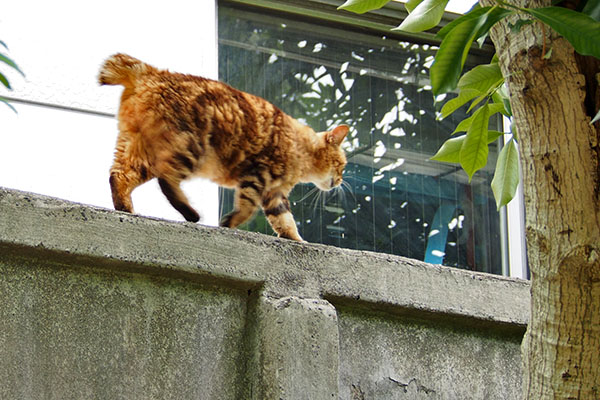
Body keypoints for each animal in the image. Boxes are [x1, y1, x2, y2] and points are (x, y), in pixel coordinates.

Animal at [98, 52, 346, 241]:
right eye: (342, 165)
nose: (341, 181)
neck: (300, 147)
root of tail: (152, 72)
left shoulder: (274, 194)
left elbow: (285, 221)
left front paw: (298, 240)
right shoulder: (257, 176)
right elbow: (247, 207)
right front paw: (229, 222)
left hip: (138, 150)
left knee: (118, 175)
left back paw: (126, 210)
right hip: (188, 148)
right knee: (166, 180)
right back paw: (191, 214)